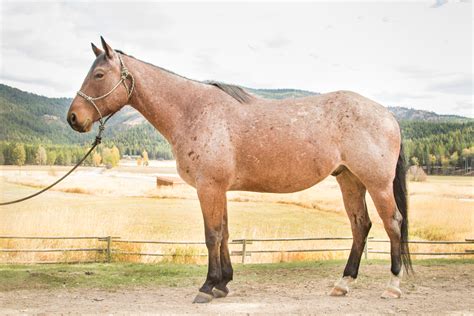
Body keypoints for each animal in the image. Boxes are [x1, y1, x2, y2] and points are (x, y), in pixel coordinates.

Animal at [66, 37, 412, 304]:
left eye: (99, 74)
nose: (73, 118)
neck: (193, 111)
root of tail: (387, 115)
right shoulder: (219, 189)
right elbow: (225, 234)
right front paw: (223, 284)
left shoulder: (208, 187)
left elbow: (212, 235)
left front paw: (207, 286)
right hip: (349, 180)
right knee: (360, 226)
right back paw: (343, 284)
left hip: (377, 184)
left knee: (392, 224)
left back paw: (393, 286)